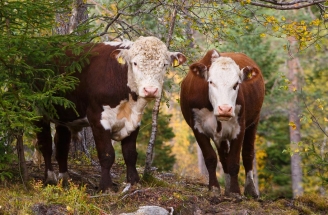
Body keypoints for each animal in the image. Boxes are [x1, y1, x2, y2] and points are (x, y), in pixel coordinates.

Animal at [35, 35, 187, 191]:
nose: (150, 90)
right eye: (135, 63)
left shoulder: (134, 121)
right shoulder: (98, 118)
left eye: (164, 64)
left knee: (61, 145)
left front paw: (134, 182)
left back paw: (64, 179)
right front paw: (106, 186)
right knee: (45, 144)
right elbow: (107, 154)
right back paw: (50, 178)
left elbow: (130, 154)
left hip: (64, 114)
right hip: (37, 109)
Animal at [179, 49, 264, 197]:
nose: (225, 109)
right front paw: (214, 188)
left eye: (236, 84)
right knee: (223, 155)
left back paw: (250, 189)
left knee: (247, 153)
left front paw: (235, 191)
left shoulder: (239, 127)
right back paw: (227, 188)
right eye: (211, 82)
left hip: (254, 121)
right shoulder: (197, 128)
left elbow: (234, 161)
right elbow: (211, 158)